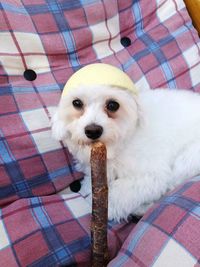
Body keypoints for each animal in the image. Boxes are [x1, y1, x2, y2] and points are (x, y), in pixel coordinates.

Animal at [52, 85, 200, 223]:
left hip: (187, 160)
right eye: (77, 103)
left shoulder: (152, 175)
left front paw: (107, 209)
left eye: (113, 105)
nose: (93, 131)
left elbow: (121, 192)